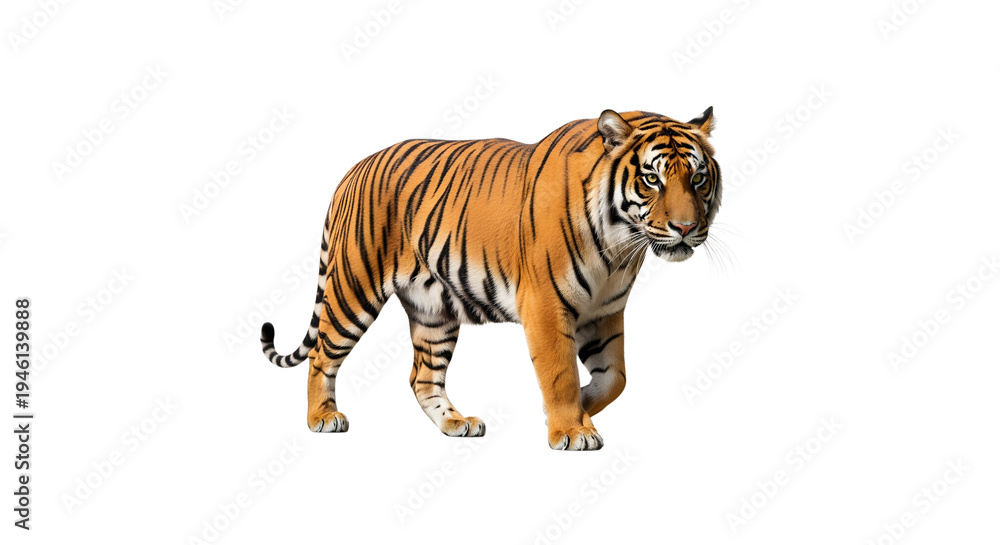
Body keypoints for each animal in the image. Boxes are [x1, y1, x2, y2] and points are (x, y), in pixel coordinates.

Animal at [260, 107, 721, 450]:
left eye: (698, 178)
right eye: (651, 179)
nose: (685, 228)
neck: (620, 245)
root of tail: (353, 170)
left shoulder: (604, 312)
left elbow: (615, 378)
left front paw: (582, 409)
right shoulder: (546, 305)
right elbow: (561, 373)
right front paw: (572, 429)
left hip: (433, 311)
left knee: (422, 376)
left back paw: (456, 423)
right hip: (354, 288)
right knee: (322, 354)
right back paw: (322, 418)